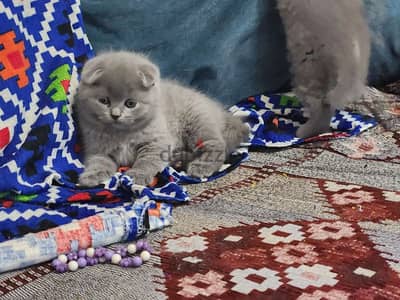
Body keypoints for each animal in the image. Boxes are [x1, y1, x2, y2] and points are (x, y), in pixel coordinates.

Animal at [74, 50, 248, 186]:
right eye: (104, 101)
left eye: (130, 103)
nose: (115, 115)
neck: (122, 134)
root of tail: (217, 109)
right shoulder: (97, 147)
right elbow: (98, 161)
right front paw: (91, 176)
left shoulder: (156, 142)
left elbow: (147, 160)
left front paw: (137, 175)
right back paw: (179, 159)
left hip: (197, 123)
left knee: (216, 145)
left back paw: (200, 166)